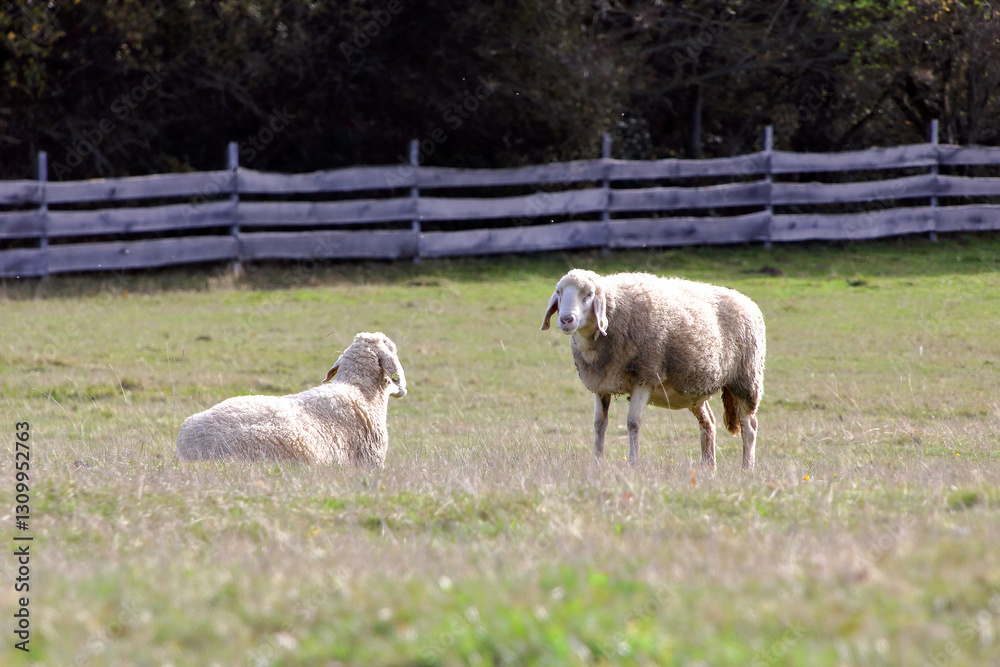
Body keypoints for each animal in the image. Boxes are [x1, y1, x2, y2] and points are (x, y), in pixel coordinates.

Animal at [541, 269, 765, 471]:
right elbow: (599, 424)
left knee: (749, 427)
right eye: (559, 292)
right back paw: (708, 468)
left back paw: (747, 467)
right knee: (708, 422)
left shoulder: (645, 377)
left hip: (746, 379)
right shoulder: (601, 384)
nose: (566, 319)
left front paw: (633, 464)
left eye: (589, 294)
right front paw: (595, 464)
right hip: (694, 390)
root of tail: (747, 300)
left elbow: (633, 423)